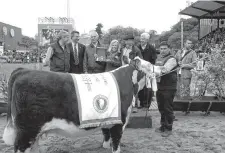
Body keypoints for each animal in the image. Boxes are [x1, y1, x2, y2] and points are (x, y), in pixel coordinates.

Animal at [2, 57, 149, 153]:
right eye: (148, 65)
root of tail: (23, 71)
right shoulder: (119, 122)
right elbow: (116, 141)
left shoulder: (109, 118)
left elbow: (106, 134)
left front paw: (105, 146)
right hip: (26, 130)